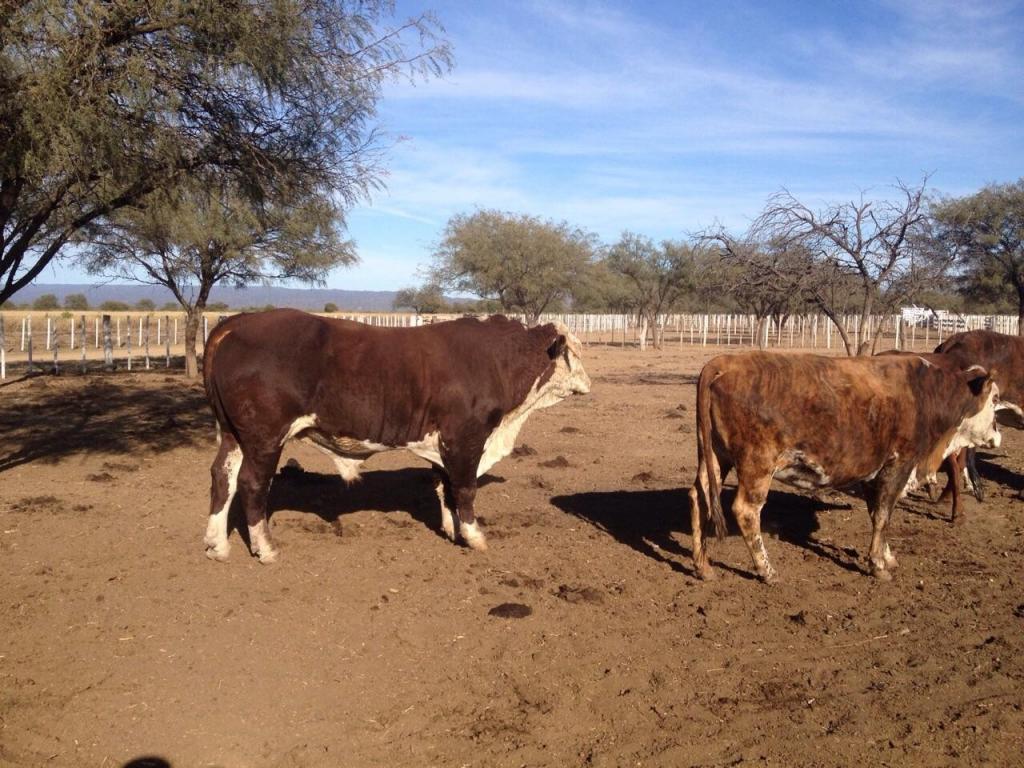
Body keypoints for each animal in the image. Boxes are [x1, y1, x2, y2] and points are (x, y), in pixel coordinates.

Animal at [201, 309, 593, 565]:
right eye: (574, 352)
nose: (590, 383)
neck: (494, 359)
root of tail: (238, 322)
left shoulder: (442, 443)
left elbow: (444, 487)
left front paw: (450, 529)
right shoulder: (465, 438)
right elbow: (465, 490)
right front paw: (474, 536)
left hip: (234, 435)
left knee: (223, 478)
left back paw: (217, 544)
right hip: (265, 438)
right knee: (252, 484)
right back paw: (265, 548)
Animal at [688, 352, 999, 581]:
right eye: (994, 399)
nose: (997, 435)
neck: (926, 393)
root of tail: (724, 363)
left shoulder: (873, 472)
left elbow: (878, 513)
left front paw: (886, 556)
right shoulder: (899, 464)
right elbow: (884, 514)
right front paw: (878, 565)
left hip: (715, 456)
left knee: (699, 496)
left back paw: (703, 566)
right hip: (757, 464)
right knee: (746, 510)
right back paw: (767, 570)